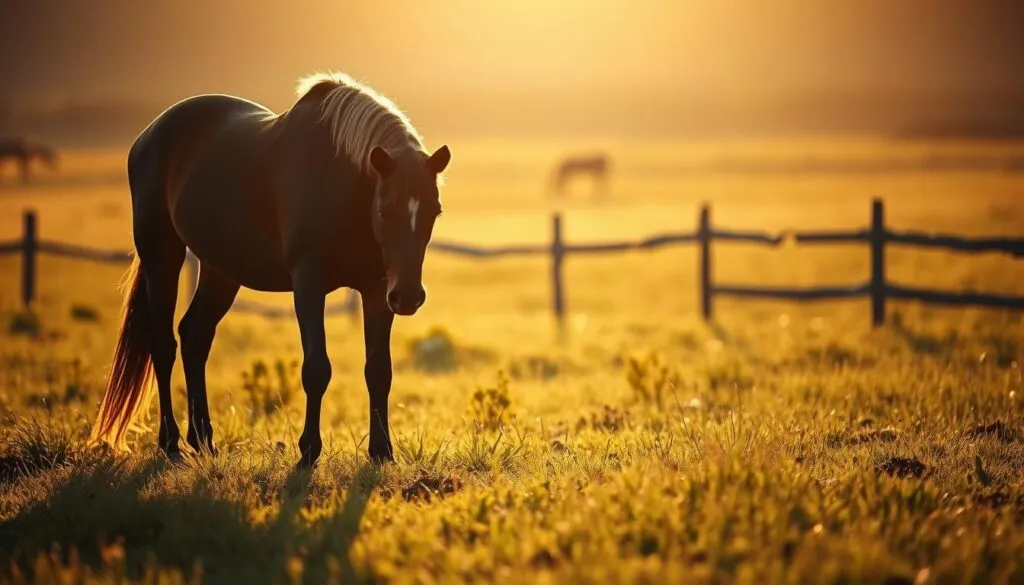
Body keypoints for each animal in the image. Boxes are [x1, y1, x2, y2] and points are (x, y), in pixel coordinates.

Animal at [88, 72, 451, 468]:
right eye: (385, 210)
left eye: (434, 211)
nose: (409, 297)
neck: (343, 184)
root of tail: (147, 136)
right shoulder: (309, 284)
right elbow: (316, 369)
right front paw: (308, 451)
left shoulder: (377, 290)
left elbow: (379, 371)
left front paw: (382, 453)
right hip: (161, 256)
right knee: (163, 344)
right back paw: (171, 444)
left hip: (221, 271)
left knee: (194, 336)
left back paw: (204, 441)